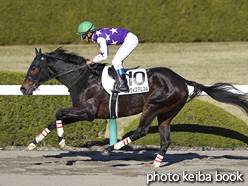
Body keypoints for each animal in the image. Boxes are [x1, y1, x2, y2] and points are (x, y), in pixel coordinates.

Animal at [20, 48, 248, 167]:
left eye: (34, 67)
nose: (23, 88)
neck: (82, 78)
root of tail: (182, 80)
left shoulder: (88, 112)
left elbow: (58, 112)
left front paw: (61, 141)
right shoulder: (82, 112)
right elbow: (54, 118)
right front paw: (34, 143)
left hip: (153, 106)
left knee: (142, 130)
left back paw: (110, 148)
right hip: (167, 113)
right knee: (165, 139)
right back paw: (156, 163)